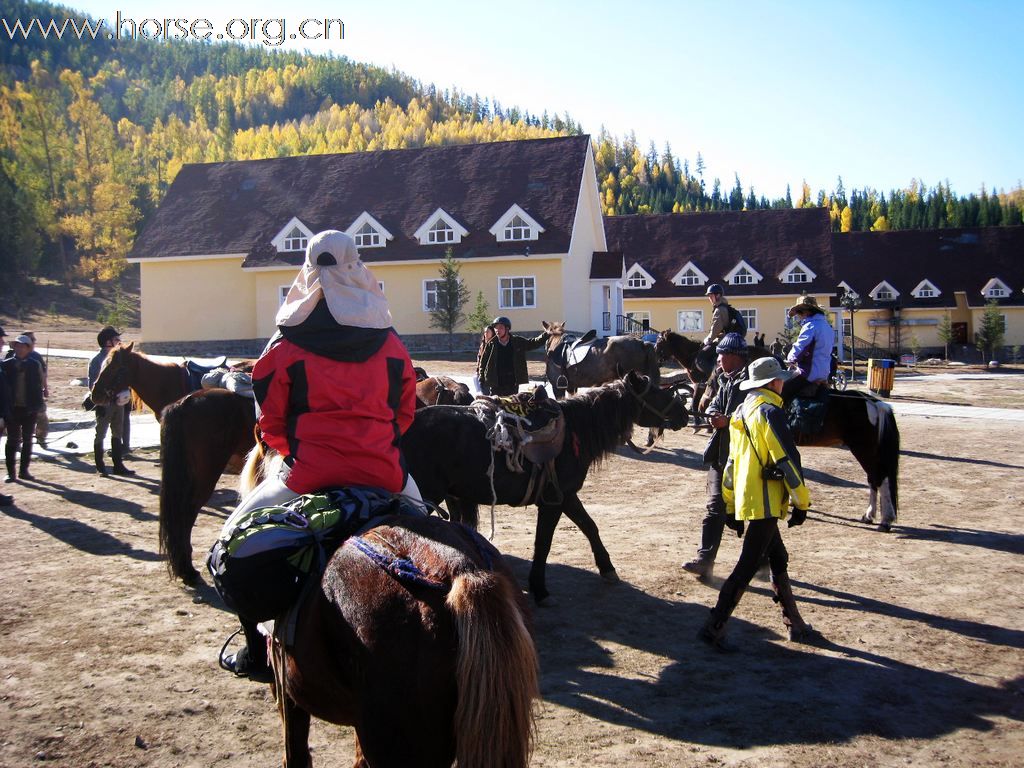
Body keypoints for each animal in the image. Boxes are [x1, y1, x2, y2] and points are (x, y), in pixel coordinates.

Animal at [401, 372, 688, 606]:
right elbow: (544, 543)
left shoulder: (567, 495)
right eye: (656, 392)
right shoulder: (552, 501)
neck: (575, 431)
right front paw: (540, 589)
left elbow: (589, 526)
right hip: (425, 497)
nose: (684, 415)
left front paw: (607, 568)